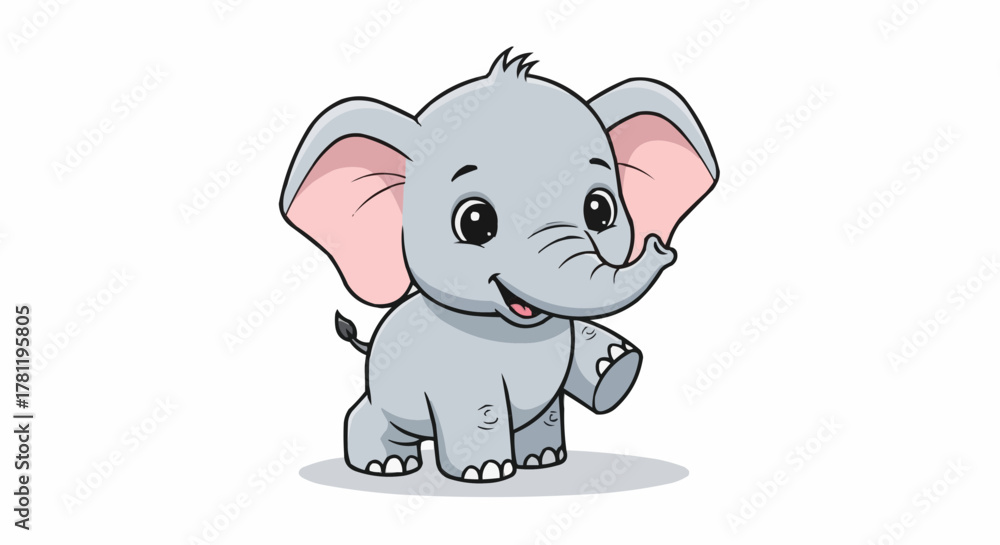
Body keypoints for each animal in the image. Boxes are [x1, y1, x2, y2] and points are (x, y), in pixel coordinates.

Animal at [279, 49, 718, 482]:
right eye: (474, 221)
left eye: (600, 209)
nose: (661, 246)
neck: (508, 330)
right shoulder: (455, 370)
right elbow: (480, 409)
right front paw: (486, 473)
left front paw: (612, 374)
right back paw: (386, 466)